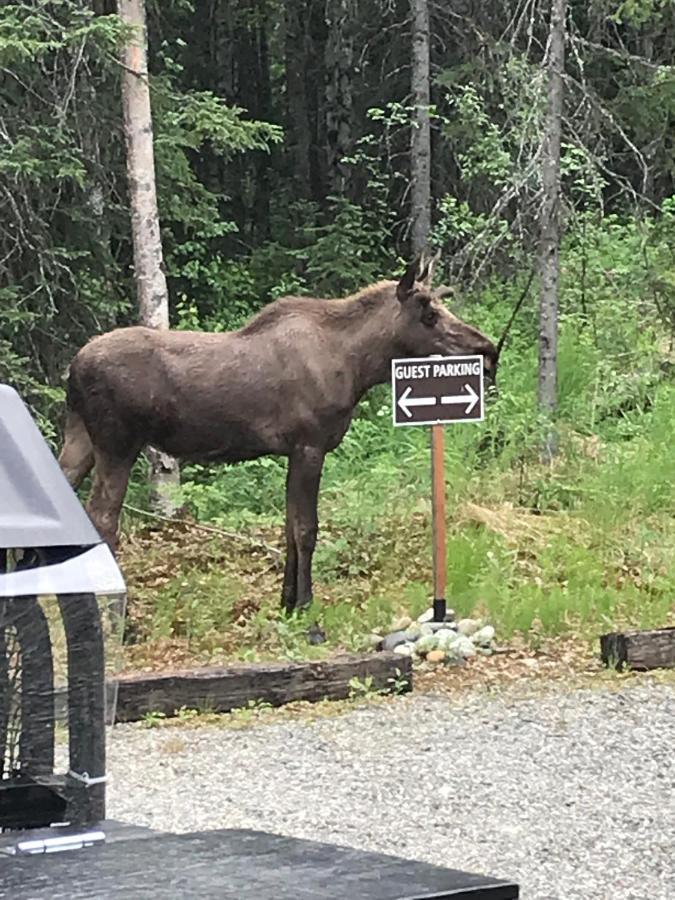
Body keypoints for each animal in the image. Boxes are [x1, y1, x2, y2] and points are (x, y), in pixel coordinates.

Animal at [59, 256, 496, 616]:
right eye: (429, 314)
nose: (488, 351)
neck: (358, 365)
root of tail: (72, 369)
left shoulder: (291, 451)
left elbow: (289, 526)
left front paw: (286, 603)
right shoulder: (310, 446)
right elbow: (307, 529)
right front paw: (307, 609)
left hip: (80, 440)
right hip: (117, 444)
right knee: (103, 520)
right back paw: (120, 618)